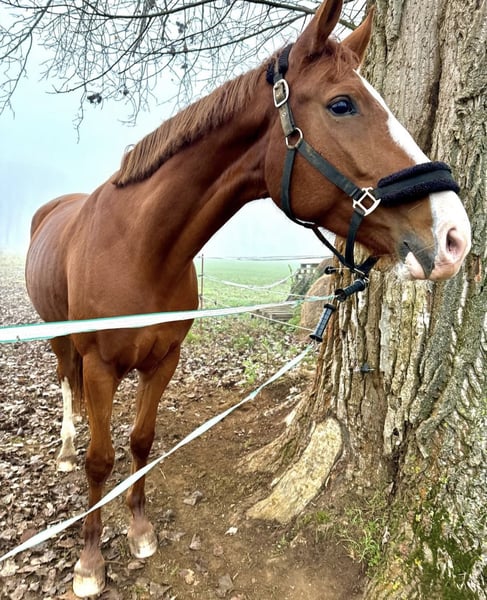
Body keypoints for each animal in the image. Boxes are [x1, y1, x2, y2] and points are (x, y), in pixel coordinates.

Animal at [25, 0, 471, 596]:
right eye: (342, 104)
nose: (454, 236)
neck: (138, 249)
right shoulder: (100, 365)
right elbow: (102, 459)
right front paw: (90, 562)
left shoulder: (164, 361)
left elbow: (141, 441)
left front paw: (139, 530)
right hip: (60, 339)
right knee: (66, 386)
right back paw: (65, 450)